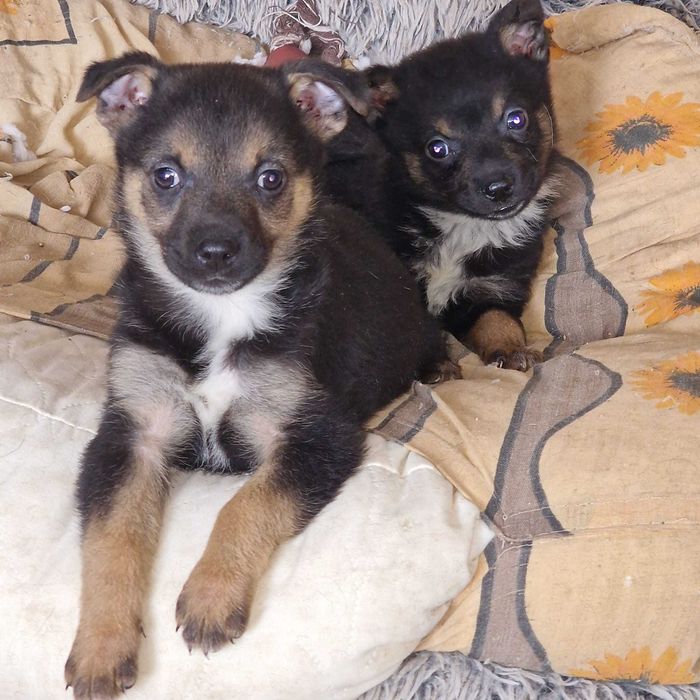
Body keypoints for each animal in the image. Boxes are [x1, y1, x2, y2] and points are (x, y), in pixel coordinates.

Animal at [65, 52, 444, 699]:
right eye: (166, 176)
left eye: (270, 179)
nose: (216, 252)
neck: (223, 317)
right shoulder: (134, 431)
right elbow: (111, 537)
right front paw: (101, 644)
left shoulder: (320, 435)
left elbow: (248, 503)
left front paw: (211, 596)